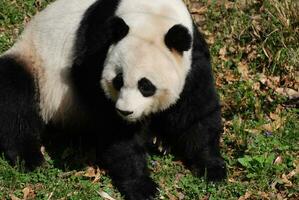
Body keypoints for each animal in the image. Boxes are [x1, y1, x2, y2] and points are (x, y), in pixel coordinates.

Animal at [0, 0, 225, 199]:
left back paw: (160, 141)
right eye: (118, 81)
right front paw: (142, 185)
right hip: (36, 64)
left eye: (146, 86)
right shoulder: (96, 47)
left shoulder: (193, 57)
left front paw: (212, 168)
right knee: (15, 93)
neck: (153, 13)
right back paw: (30, 157)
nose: (125, 111)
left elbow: (197, 111)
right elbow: (110, 120)